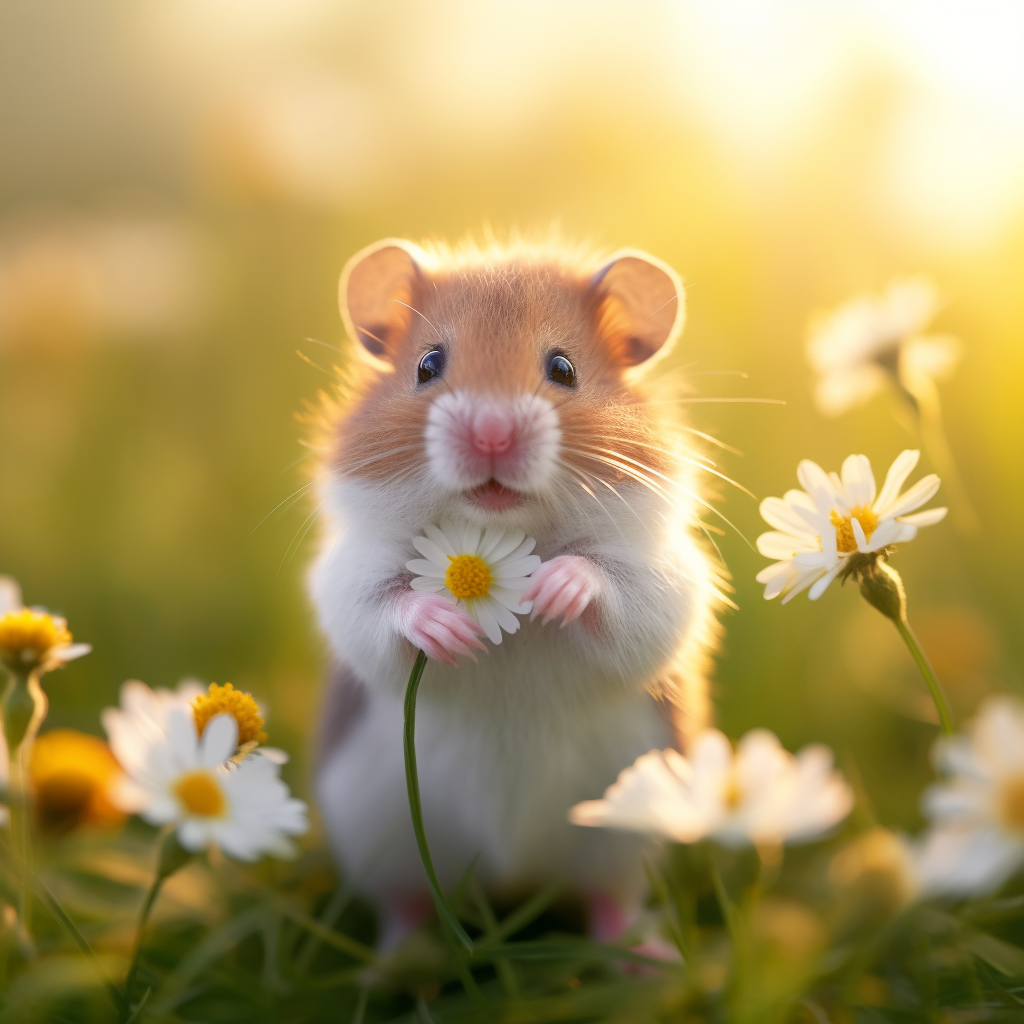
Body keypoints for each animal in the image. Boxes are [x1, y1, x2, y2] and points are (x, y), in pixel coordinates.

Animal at [308, 236, 723, 946]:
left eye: (563, 368)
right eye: (427, 364)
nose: (492, 433)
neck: (506, 528)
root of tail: (511, 876)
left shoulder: (665, 575)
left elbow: (621, 592)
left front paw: (554, 590)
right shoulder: (350, 575)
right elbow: (381, 608)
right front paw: (450, 631)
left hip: (627, 826)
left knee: (611, 898)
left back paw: (646, 958)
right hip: (378, 834)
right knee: (406, 903)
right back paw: (398, 958)